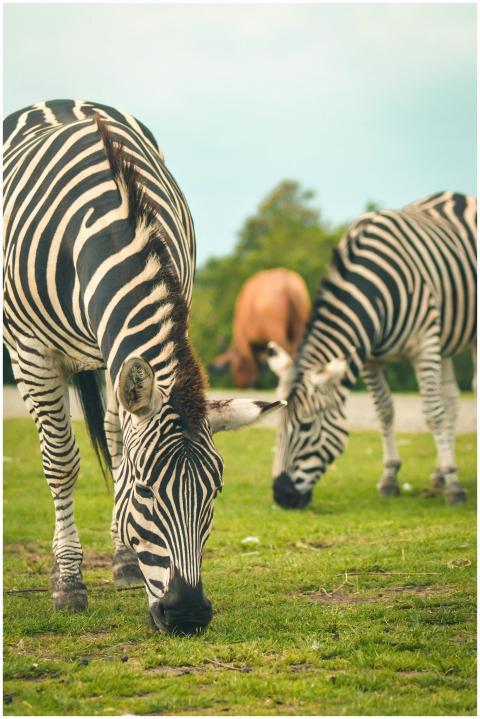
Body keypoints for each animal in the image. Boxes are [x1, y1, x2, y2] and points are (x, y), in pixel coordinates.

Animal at [3, 99, 284, 635]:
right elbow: (61, 463)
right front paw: (68, 584)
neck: (109, 219)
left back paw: (125, 562)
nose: (189, 615)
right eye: (148, 491)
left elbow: (120, 455)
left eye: (216, 492)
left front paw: (125, 560)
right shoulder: (31, 349)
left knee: (116, 441)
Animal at [267, 192, 476, 509]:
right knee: (451, 397)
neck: (375, 289)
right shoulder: (370, 358)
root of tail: (457, 195)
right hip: (446, 341)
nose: (282, 496)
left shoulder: (424, 344)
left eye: (306, 426)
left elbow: (432, 413)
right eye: (277, 424)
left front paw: (454, 487)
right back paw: (439, 473)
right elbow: (385, 412)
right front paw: (390, 478)